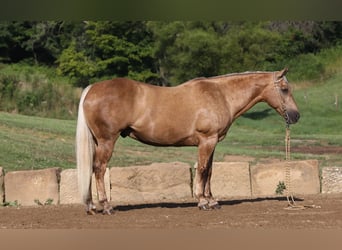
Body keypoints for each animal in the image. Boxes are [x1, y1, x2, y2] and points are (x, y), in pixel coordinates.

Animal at [75, 67, 300, 214]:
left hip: (98, 142)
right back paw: (106, 206)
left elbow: (209, 171)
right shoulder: (207, 140)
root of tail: (92, 89)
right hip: (107, 141)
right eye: (285, 89)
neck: (221, 95)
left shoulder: (212, 142)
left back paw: (92, 206)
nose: (296, 116)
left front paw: (212, 201)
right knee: (99, 169)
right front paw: (202, 202)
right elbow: (203, 170)